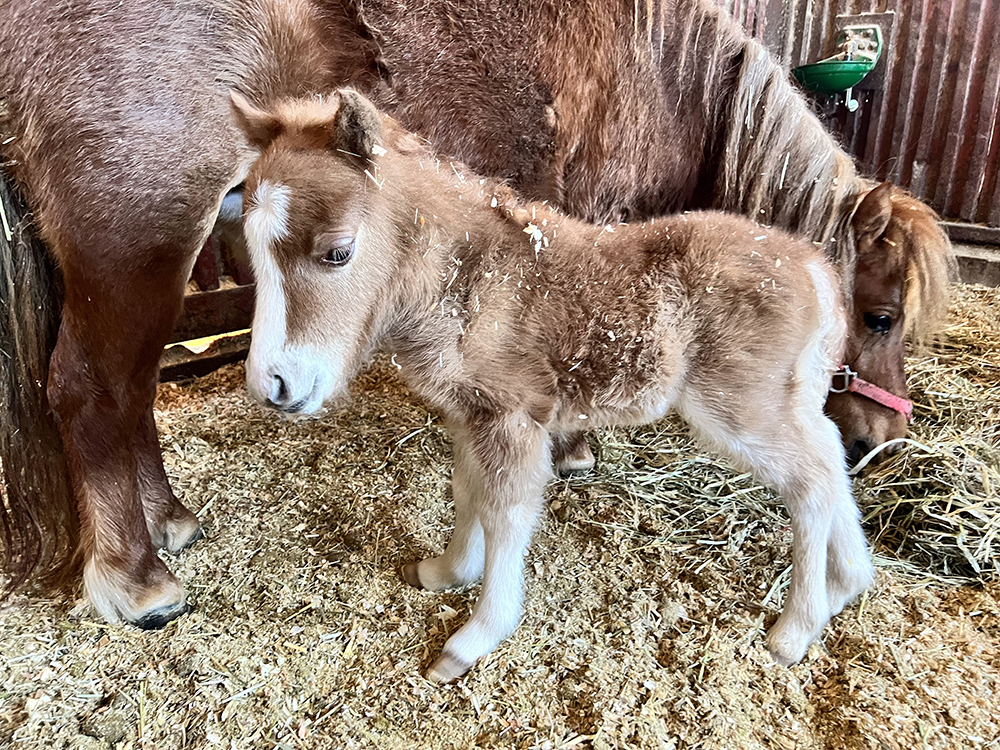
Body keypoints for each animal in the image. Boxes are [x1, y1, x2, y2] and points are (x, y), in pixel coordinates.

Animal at [234, 91, 876, 684]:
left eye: (337, 252)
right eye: (253, 252)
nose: (273, 385)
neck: (471, 281)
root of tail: (817, 270)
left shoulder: (514, 419)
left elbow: (506, 513)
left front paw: (476, 636)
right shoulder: (469, 417)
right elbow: (467, 492)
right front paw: (446, 573)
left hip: (740, 410)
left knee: (810, 483)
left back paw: (795, 630)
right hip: (787, 400)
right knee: (829, 453)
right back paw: (849, 582)